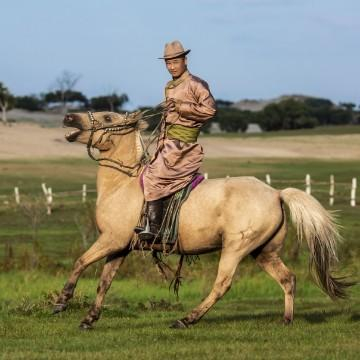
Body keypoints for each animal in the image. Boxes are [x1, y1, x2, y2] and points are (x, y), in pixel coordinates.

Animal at [56, 109, 352, 330]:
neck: (122, 184)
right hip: (264, 252)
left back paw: (186, 319)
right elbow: (104, 282)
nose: (69, 117)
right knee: (288, 279)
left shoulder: (111, 240)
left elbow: (80, 262)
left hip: (236, 247)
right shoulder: (120, 247)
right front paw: (89, 319)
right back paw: (287, 320)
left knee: (222, 284)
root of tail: (276, 193)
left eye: (107, 117)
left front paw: (62, 301)